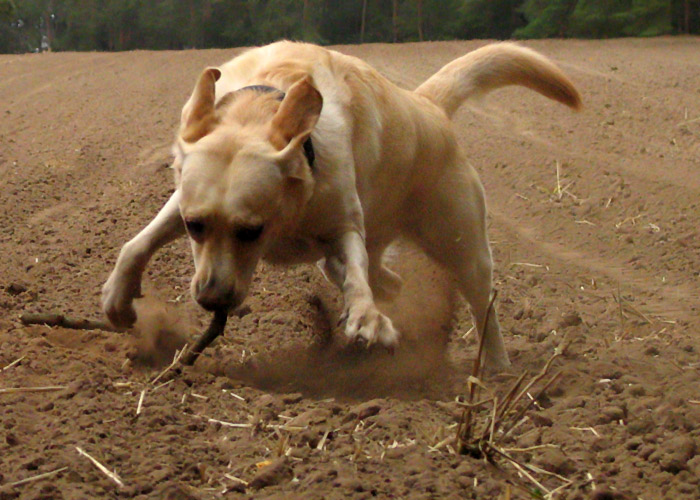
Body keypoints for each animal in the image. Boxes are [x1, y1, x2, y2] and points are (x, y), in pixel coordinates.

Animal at [101, 42, 580, 368]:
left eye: (251, 231)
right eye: (195, 226)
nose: (210, 300)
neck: (263, 104)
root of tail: (429, 105)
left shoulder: (345, 224)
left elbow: (356, 272)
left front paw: (368, 319)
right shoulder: (181, 198)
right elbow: (137, 242)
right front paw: (118, 298)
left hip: (463, 246)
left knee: (482, 306)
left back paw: (494, 368)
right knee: (378, 276)